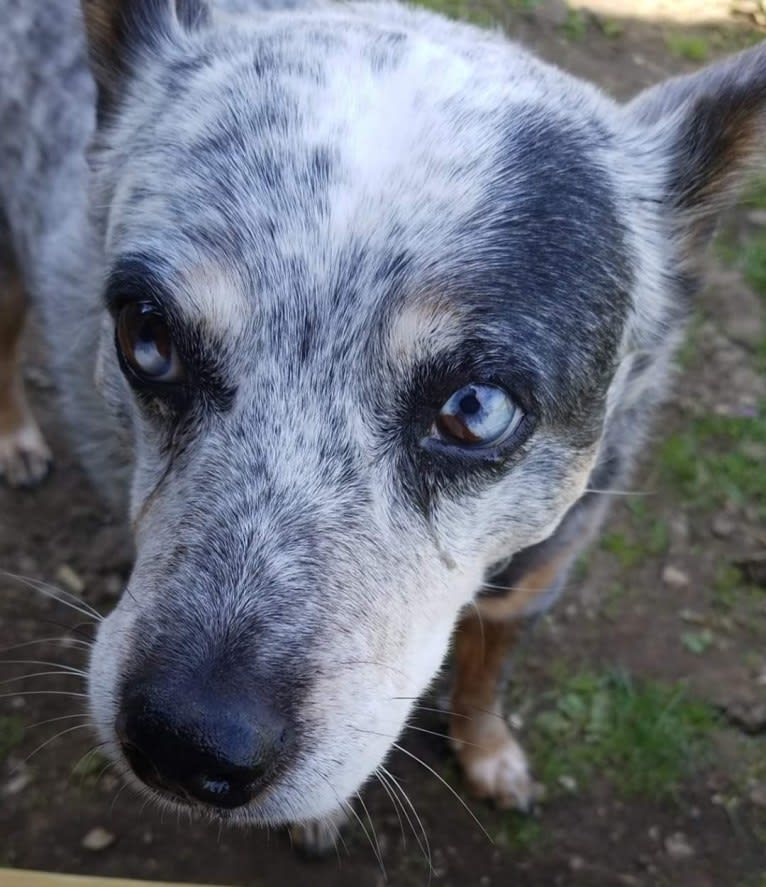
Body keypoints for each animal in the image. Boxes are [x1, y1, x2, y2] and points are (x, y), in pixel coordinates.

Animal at [1, 0, 766, 856]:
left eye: (475, 408)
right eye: (147, 335)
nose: (185, 743)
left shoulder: (538, 581)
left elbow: (486, 676)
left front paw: (489, 753)